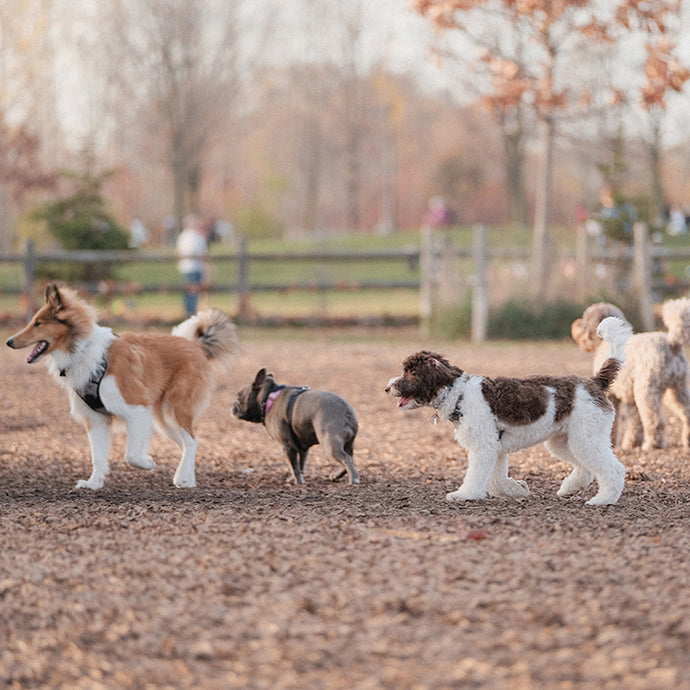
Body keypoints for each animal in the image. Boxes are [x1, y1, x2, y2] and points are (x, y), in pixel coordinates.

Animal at [5, 280, 239, 490]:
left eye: (38, 323)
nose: (8, 342)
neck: (82, 350)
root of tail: (196, 345)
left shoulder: (136, 410)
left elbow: (131, 455)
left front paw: (147, 462)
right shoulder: (96, 420)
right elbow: (98, 457)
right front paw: (93, 484)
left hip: (175, 409)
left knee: (191, 440)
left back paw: (183, 479)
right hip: (163, 419)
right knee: (187, 443)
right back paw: (187, 478)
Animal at [384, 318, 632, 506]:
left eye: (412, 372)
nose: (387, 387)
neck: (460, 395)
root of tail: (595, 382)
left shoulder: (484, 447)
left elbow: (477, 476)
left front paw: (465, 494)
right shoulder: (496, 449)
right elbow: (497, 479)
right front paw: (516, 490)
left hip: (585, 438)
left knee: (614, 469)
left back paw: (603, 500)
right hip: (565, 440)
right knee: (586, 469)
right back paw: (569, 489)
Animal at [568, 296, 688, 448]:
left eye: (585, 319)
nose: (575, 325)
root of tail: (672, 344)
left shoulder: (611, 394)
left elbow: (616, 424)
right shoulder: (630, 398)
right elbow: (635, 423)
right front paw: (631, 444)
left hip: (647, 392)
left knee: (655, 421)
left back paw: (652, 445)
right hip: (677, 390)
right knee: (686, 415)